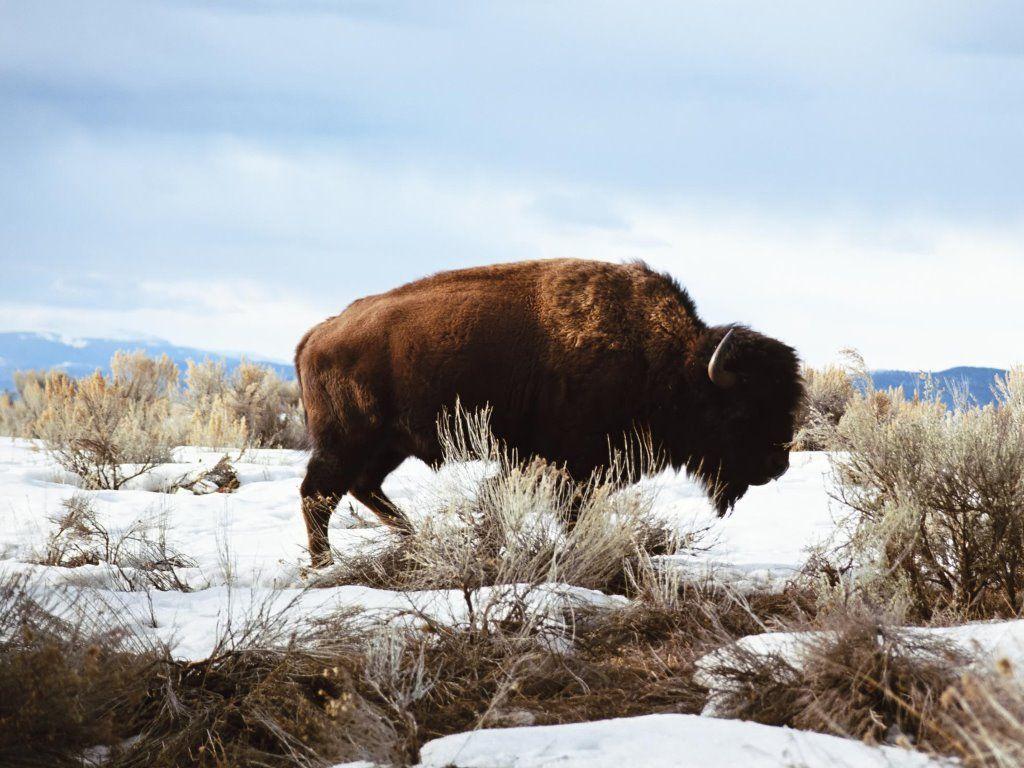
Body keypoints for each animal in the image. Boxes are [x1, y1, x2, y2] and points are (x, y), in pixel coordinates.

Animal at [295, 259, 803, 566]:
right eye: (742, 411)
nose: (777, 466)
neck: (668, 365)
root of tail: (318, 334)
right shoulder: (571, 467)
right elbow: (567, 515)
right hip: (347, 442)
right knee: (318, 495)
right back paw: (324, 566)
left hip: (386, 445)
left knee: (362, 487)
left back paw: (413, 539)